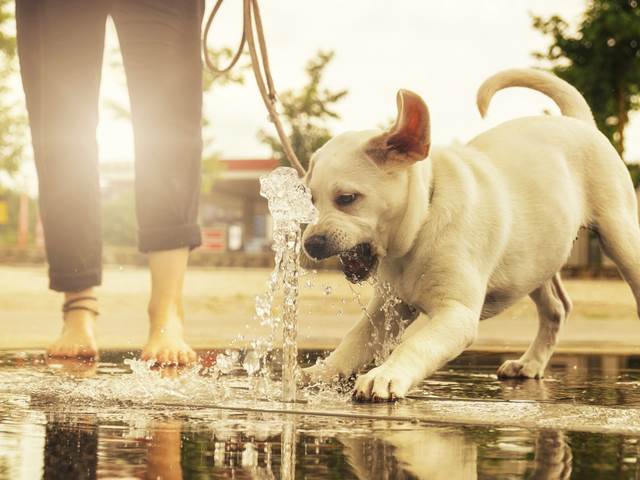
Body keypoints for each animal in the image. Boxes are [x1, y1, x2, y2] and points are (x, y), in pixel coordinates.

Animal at [302, 67, 640, 402]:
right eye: (311, 200)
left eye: (347, 198)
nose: (311, 244)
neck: (422, 224)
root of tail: (578, 121)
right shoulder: (389, 309)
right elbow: (354, 340)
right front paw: (320, 373)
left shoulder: (457, 314)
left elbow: (416, 345)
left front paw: (384, 376)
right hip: (537, 258)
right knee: (556, 309)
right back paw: (530, 363)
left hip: (619, 235)